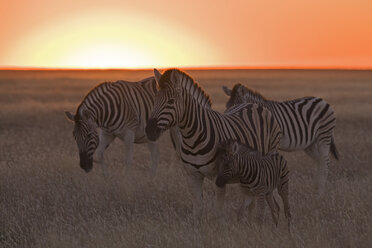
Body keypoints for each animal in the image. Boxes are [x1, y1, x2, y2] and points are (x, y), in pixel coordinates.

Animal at [145, 68, 282, 221]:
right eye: (155, 100)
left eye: (171, 101)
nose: (149, 130)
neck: (193, 138)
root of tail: (253, 104)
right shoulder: (193, 176)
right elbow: (198, 209)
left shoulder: (220, 176)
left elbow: (218, 211)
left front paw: (219, 226)